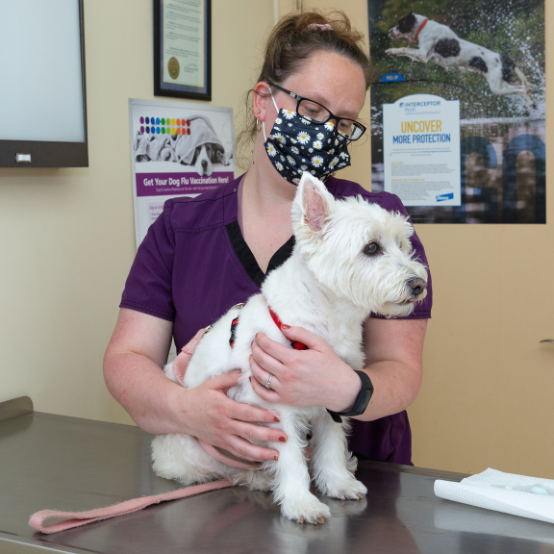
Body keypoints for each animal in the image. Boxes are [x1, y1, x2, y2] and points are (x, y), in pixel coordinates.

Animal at [151, 171, 426, 520]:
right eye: (372, 247)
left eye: (402, 245)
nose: (419, 284)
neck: (327, 317)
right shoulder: (276, 411)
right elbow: (291, 457)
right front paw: (301, 502)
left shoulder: (334, 394)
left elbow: (331, 445)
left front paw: (337, 481)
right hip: (195, 450)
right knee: (226, 470)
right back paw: (259, 479)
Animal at [384, 12, 532, 106]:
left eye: (399, 25)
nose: (389, 31)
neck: (423, 27)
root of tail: (503, 58)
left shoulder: (423, 54)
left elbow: (404, 49)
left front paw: (391, 50)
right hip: (504, 81)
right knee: (521, 85)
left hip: (497, 86)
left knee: (522, 88)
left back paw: (531, 103)